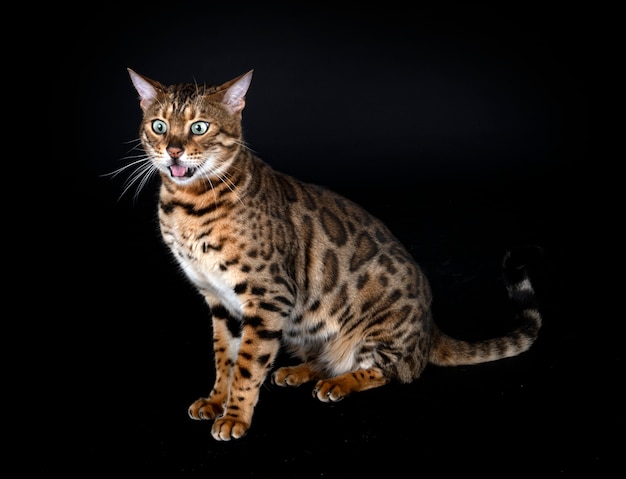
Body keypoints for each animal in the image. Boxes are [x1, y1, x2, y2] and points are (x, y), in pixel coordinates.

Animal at [123, 67, 540, 442]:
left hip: (378, 329)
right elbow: (225, 358)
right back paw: (300, 371)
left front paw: (235, 417)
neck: (190, 206)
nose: (173, 150)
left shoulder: (267, 296)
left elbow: (247, 365)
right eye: (159, 126)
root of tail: (430, 329)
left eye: (199, 127)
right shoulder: (219, 299)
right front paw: (215, 401)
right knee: (327, 360)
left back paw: (341, 383)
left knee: (393, 371)